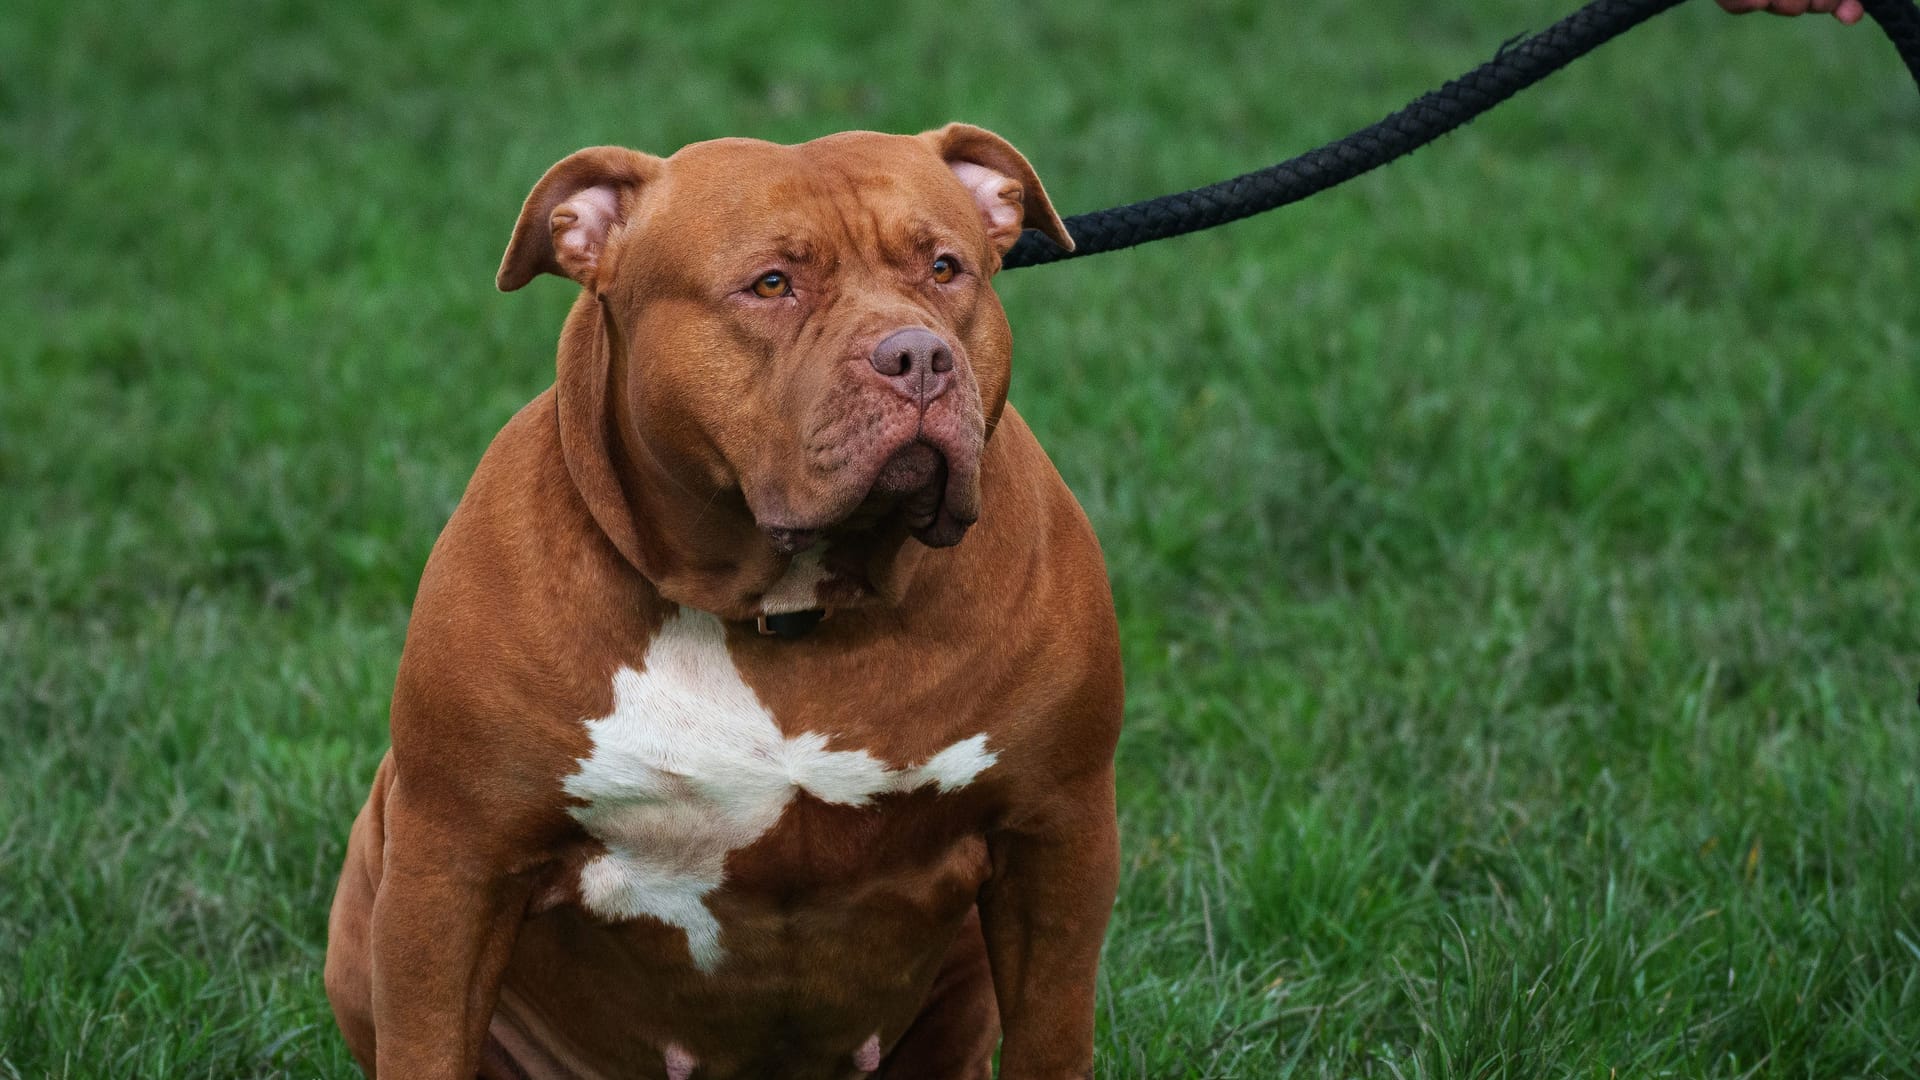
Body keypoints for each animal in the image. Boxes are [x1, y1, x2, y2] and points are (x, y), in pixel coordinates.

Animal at [322, 127, 1121, 1076]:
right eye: (770, 284)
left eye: (944, 268)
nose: (918, 356)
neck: (788, 606)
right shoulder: (453, 862)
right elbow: (428, 1040)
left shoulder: (1059, 838)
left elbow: (1052, 1036)